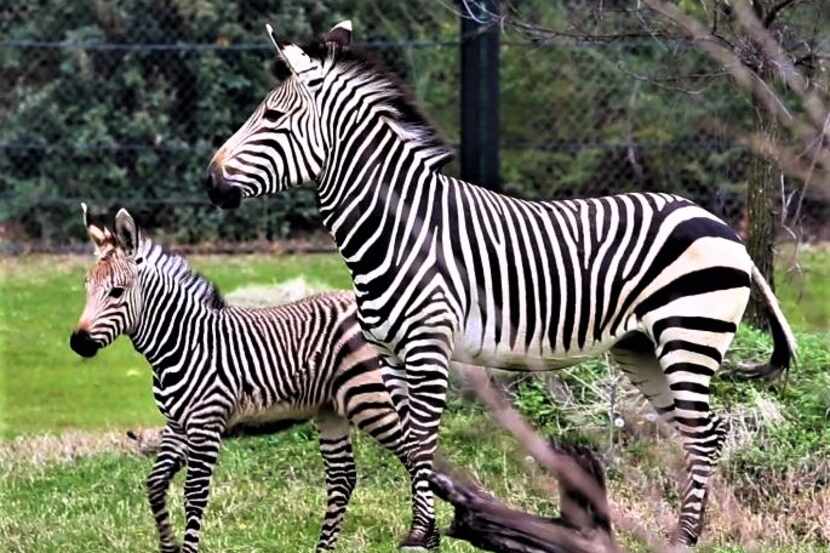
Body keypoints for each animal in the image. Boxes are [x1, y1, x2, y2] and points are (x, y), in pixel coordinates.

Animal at [70, 206, 422, 552]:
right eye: (86, 288)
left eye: (117, 292)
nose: (78, 343)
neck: (184, 342)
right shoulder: (177, 426)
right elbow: (155, 485)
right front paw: (168, 544)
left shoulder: (205, 426)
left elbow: (194, 497)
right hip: (332, 410)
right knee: (343, 478)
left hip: (370, 400)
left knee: (414, 455)